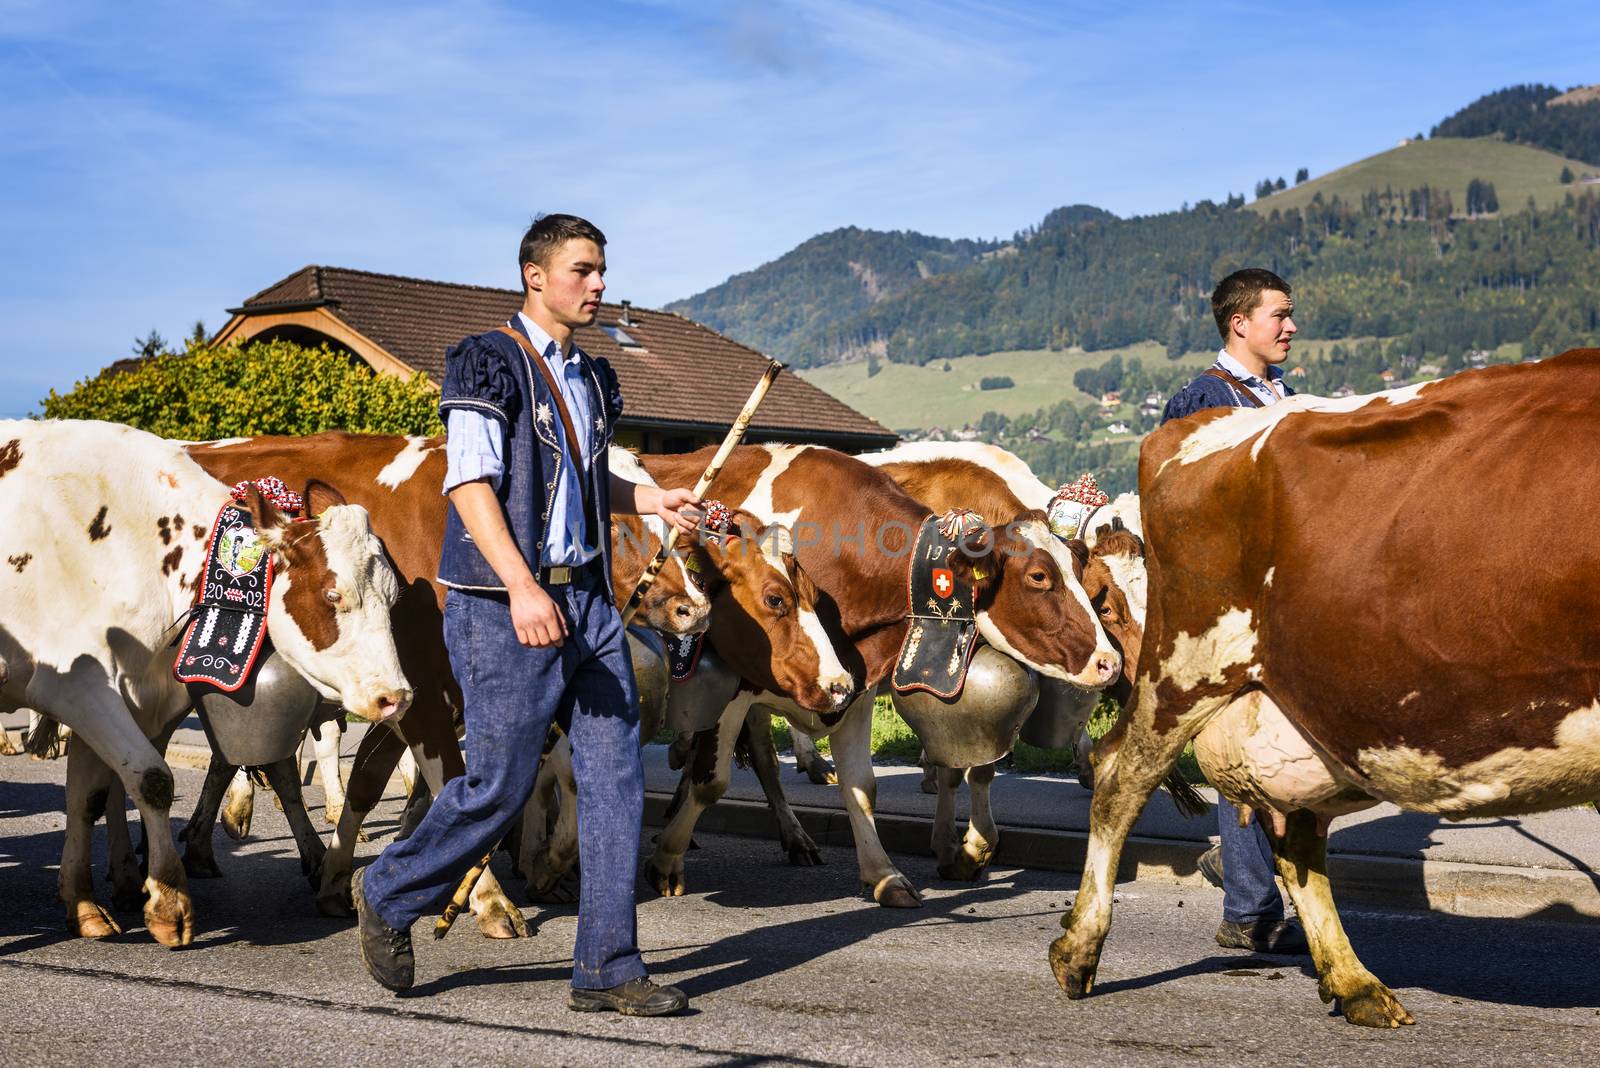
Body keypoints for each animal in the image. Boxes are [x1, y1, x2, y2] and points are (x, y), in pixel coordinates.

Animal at [0, 415, 412, 940]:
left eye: (392, 596)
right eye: (333, 594)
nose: (395, 696)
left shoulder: (119, 694)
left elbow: (89, 797)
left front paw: (83, 902)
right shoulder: (78, 684)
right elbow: (151, 779)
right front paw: (169, 902)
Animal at [636, 447, 1126, 908]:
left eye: (1080, 573)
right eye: (1039, 576)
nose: (1109, 662)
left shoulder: (854, 686)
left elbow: (863, 787)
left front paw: (886, 875)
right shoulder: (735, 685)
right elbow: (711, 781)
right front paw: (666, 861)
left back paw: (794, 837)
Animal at [1043, 351, 1600, 1023]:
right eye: (1102, 601)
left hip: (1299, 709)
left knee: (1298, 834)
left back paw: (1354, 981)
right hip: (1187, 671)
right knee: (1120, 776)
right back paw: (1078, 952)